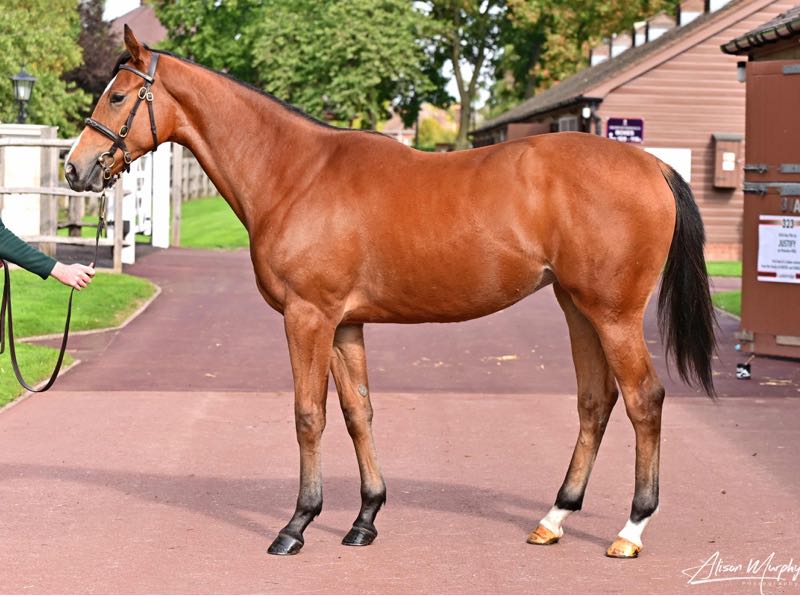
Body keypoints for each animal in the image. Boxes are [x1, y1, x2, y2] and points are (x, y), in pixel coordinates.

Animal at [65, 26, 716, 558]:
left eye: (117, 97)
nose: (76, 169)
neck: (296, 173)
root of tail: (651, 165)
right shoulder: (344, 323)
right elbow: (359, 413)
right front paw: (365, 519)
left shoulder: (308, 317)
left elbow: (308, 415)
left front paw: (297, 525)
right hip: (577, 308)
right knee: (595, 402)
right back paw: (553, 518)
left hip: (614, 314)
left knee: (644, 399)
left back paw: (631, 529)